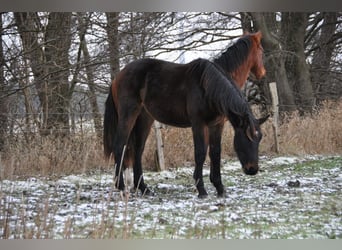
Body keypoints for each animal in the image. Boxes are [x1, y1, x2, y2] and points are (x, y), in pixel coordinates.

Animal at [103, 32, 268, 198]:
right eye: (261, 51)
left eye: (259, 139)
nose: (252, 169)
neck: (207, 86)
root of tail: (117, 77)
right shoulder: (198, 123)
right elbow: (200, 152)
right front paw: (201, 189)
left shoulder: (217, 124)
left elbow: (215, 152)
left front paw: (219, 187)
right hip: (128, 115)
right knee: (119, 145)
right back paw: (121, 186)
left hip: (144, 119)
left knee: (138, 150)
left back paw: (143, 188)